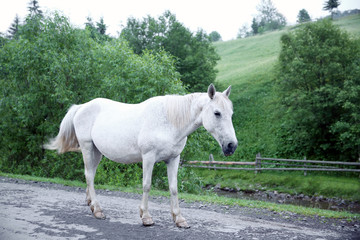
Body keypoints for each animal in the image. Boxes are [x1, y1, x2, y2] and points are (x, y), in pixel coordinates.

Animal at [44, 83, 236, 228]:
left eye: (231, 114)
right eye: (217, 113)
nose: (231, 146)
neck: (169, 122)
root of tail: (81, 107)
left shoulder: (173, 159)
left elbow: (173, 188)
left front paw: (179, 219)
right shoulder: (148, 158)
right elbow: (146, 185)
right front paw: (146, 217)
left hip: (97, 152)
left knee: (90, 175)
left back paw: (91, 204)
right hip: (87, 148)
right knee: (89, 176)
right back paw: (98, 210)